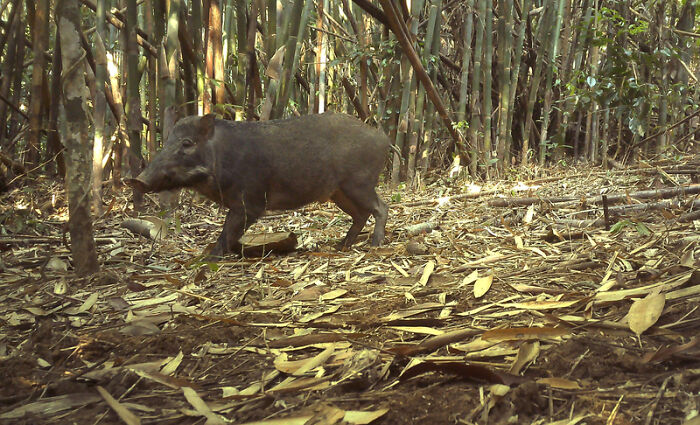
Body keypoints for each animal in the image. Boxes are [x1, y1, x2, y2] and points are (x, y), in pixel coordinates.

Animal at [128, 113, 389, 258]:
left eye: (187, 143)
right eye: (167, 142)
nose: (137, 180)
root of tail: (382, 137)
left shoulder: (250, 203)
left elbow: (227, 232)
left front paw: (208, 259)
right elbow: (230, 234)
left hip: (359, 183)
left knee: (381, 207)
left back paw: (375, 244)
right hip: (339, 192)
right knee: (360, 215)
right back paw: (341, 245)